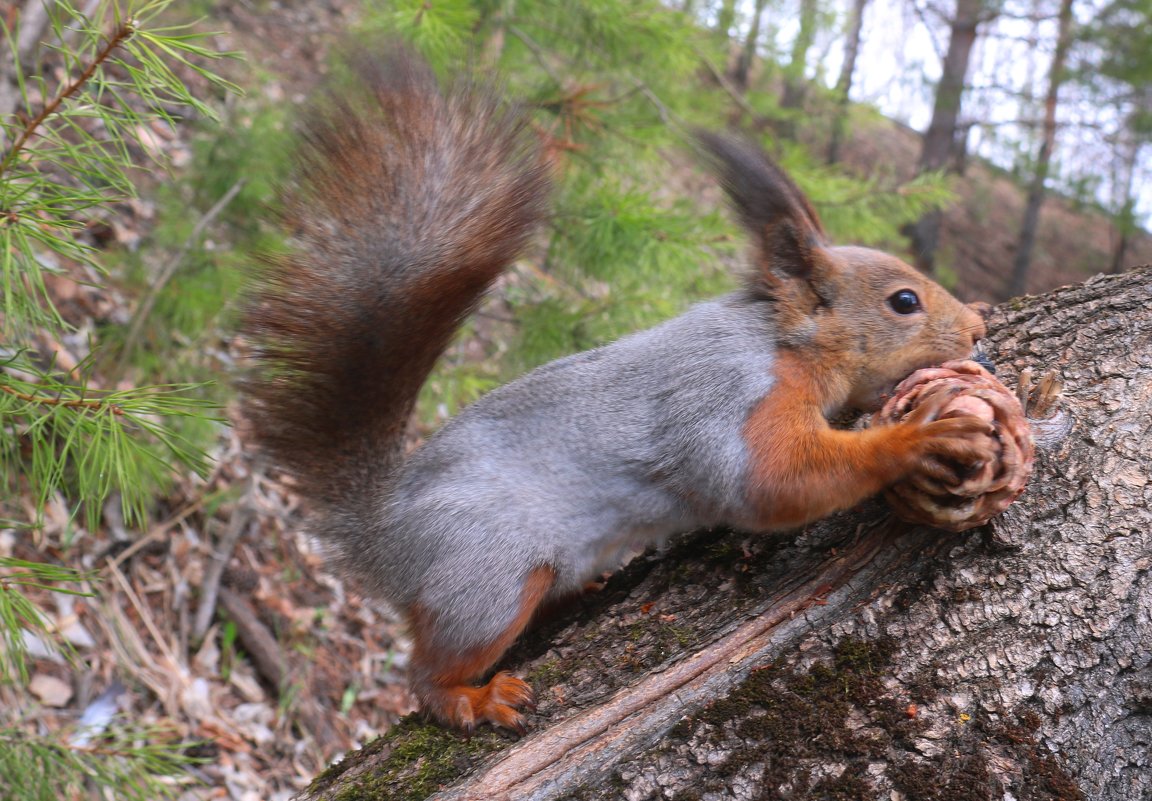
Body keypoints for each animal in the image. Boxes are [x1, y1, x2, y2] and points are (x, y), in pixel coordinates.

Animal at [240, 46, 999, 737]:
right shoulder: (726, 399)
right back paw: (473, 699)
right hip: (487, 571)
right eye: (904, 301)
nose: (977, 328)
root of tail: (382, 536)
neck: (781, 342)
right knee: (429, 671)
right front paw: (919, 436)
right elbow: (771, 482)